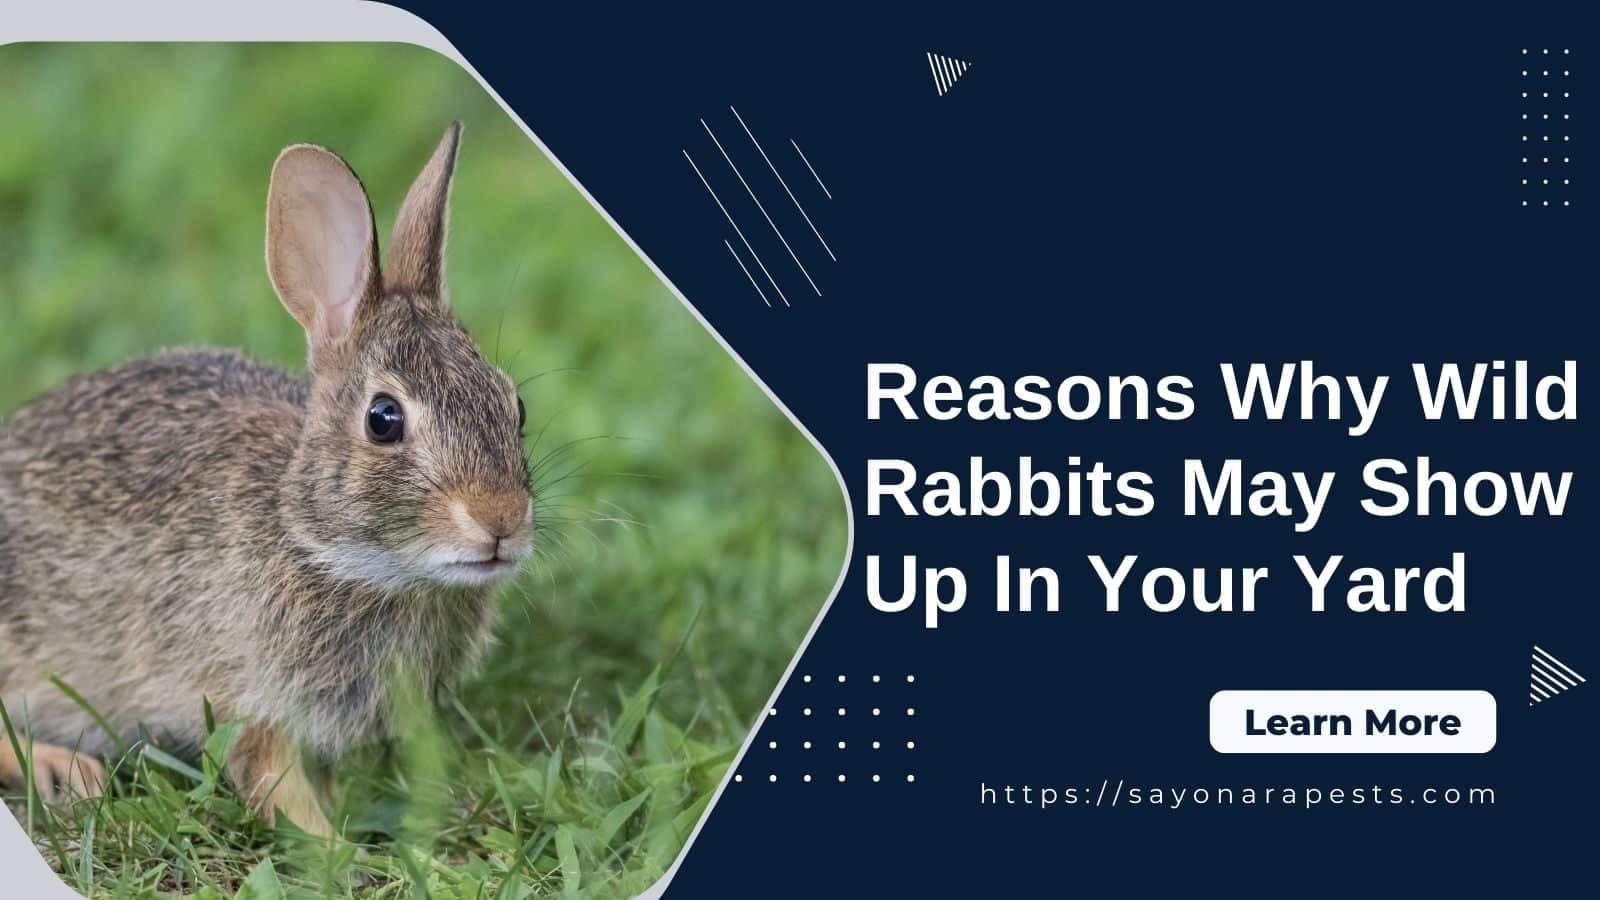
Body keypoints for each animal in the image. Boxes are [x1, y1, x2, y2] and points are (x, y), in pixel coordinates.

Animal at [0, 122, 535, 836]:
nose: (500, 520)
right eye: (383, 419)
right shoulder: (250, 696)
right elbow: (273, 781)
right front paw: (336, 846)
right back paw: (64, 769)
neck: (320, 543)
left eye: (514, 405)